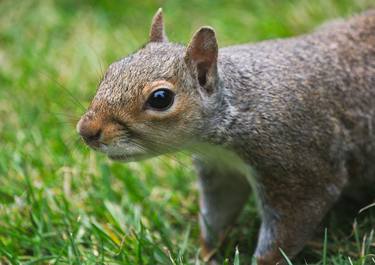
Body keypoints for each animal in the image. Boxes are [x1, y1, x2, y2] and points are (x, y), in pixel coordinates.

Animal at [77, 8, 375, 264]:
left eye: (161, 98)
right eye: (112, 70)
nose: (86, 131)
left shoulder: (298, 166)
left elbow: (290, 224)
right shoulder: (222, 170)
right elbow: (217, 215)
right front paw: (205, 255)